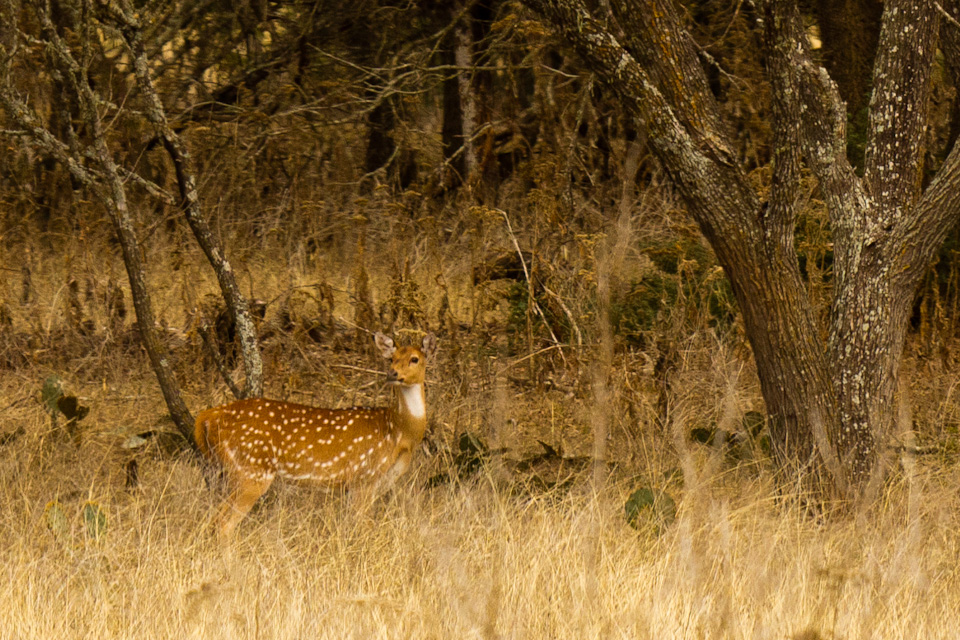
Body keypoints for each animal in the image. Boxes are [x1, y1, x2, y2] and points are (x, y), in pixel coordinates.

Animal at [194, 331, 437, 538]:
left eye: (415, 359)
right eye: (391, 359)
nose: (393, 374)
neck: (398, 431)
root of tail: (208, 416)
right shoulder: (363, 476)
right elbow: (363, 528)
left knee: (213, 521)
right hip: (251, 470)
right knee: (223, 524)